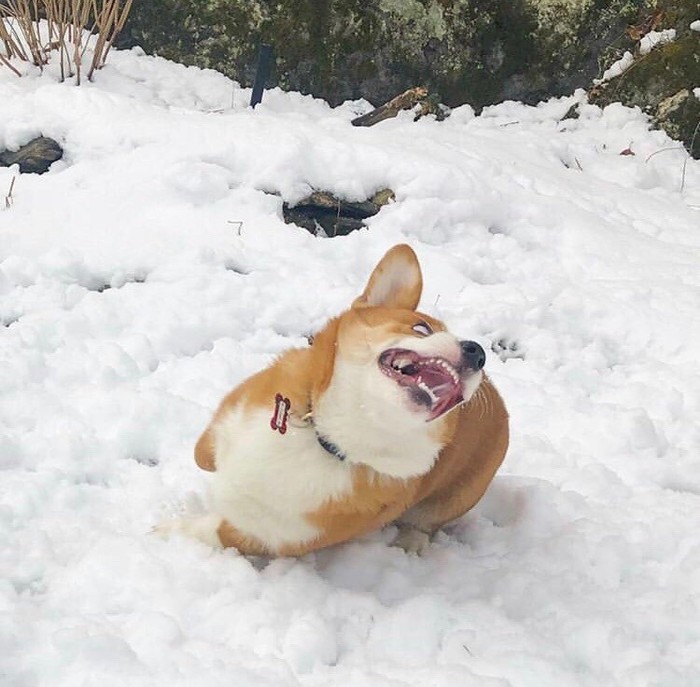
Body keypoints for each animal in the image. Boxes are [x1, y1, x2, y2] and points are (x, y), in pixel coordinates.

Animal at [160, 245, 508, 556]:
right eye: (421, 328)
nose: (478, 352)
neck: (324, 434)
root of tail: (499, 401)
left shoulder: (272, 537)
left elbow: (211, 531)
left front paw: (167, 531)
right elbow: (202, 455)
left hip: (458, 495)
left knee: (428, 522)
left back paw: (412, 541)